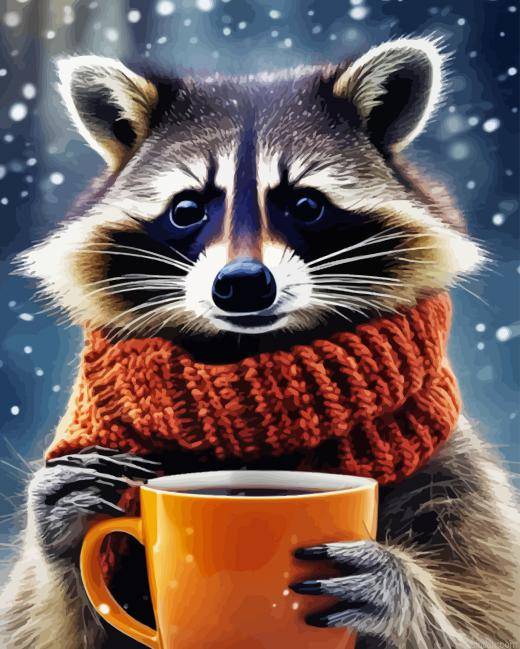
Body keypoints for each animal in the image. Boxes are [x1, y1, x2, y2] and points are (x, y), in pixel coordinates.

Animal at [1, 38, 519, 649]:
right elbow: (31, 619)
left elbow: (493, 620)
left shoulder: (452, 472)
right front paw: (61, 534)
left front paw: (402, 595)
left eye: (305, 204)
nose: (243, 283)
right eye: (187, 209)